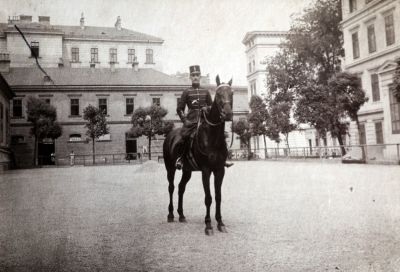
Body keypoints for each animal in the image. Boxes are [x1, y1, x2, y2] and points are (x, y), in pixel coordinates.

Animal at [161, 75, 233, 235]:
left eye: (231, 93)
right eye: (218, 94)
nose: (228, 114)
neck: (212, 137)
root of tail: (170, 135)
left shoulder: (220, 170)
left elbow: (218, 197)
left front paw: (220, 222)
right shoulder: (206, 171)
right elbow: (208, 198)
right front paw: (208, 225)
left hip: (187, 171)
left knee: (181, 188)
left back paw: (181, 215)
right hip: (170, 168)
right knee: (171, 188)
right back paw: (170, 215)